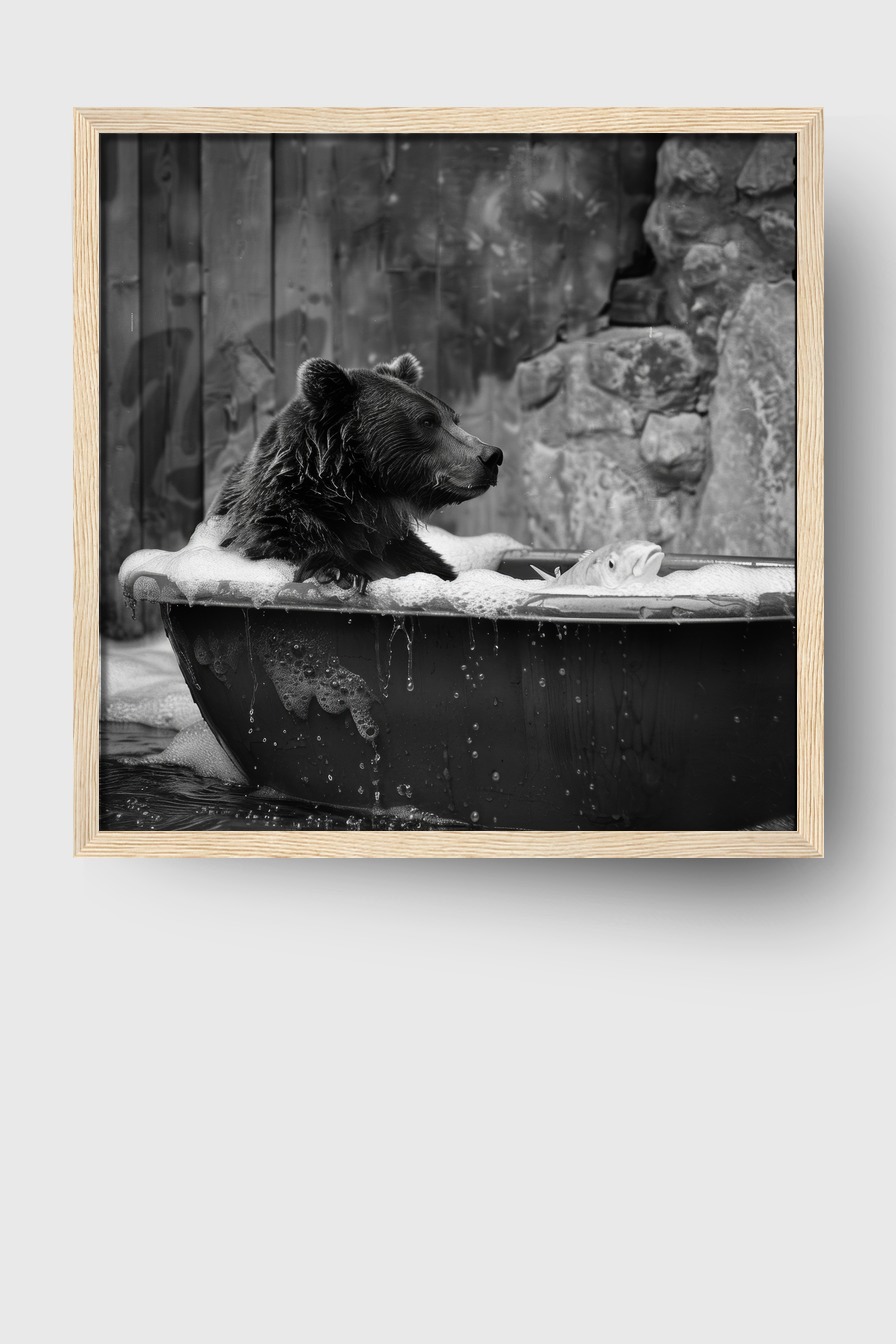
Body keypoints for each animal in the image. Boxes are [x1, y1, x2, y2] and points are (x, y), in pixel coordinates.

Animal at [209, 352, 503, 592]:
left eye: (454, 419)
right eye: (427, 420)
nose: (491, 456)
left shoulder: (400, 551)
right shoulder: (281, 530)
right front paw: (340, 573)